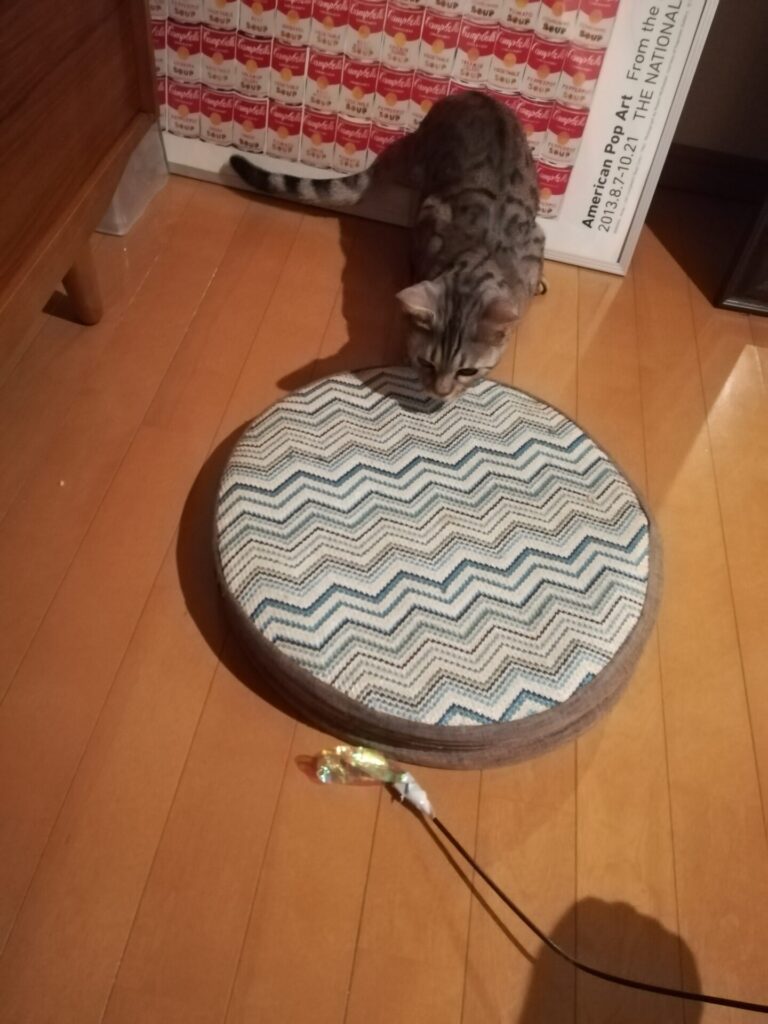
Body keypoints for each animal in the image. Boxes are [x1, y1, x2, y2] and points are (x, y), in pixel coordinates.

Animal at [230, 91, 545, 400]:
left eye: (467, 371)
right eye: (427, 363)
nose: (440, 393)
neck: (478, 256)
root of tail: (474, 94)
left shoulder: (536, 240)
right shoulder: (429, 219)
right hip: (419, 169)